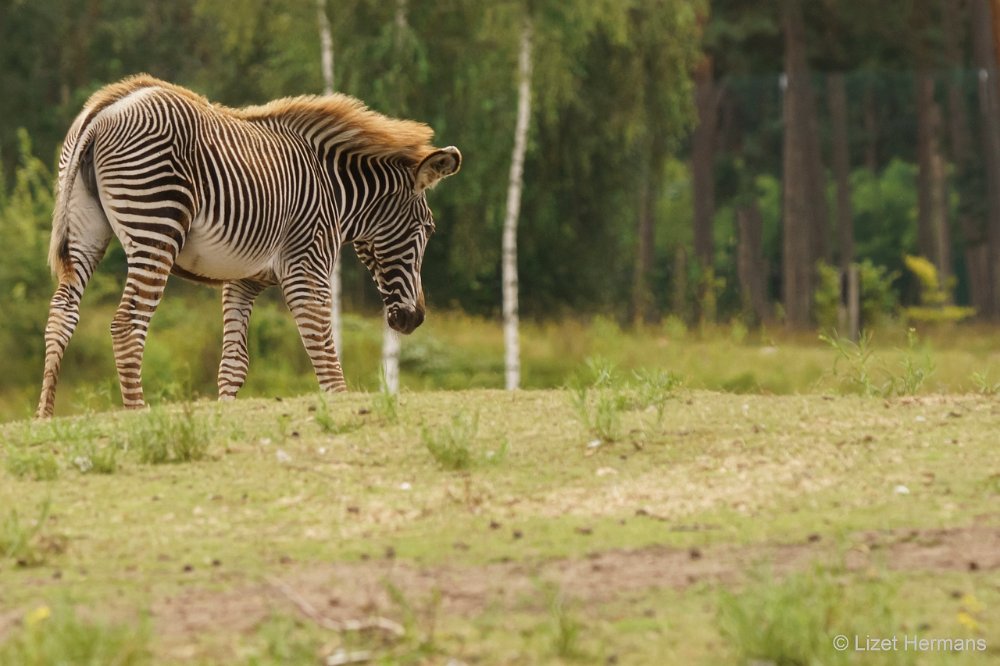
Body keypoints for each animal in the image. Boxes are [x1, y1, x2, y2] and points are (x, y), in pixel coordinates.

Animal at [36, 75, 460, 418]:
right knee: (127, 323)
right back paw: (137, 413)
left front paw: (225, 415)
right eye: (428, 228)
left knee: (61, 313)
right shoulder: (307, 263)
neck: (335, 192)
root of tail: (110, 105)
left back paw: (44, 417)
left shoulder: (243, 279)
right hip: (156, 226)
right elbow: (322, 345)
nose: (414, 319)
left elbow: (234, 364)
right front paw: (341, 405)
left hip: (86, 229)